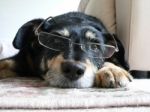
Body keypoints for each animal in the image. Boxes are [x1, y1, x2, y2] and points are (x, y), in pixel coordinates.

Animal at [0, 11, 132, 88]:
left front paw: (112, 70)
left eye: (94, 47)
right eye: (56, 41)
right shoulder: (22, 60)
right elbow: (4, 62)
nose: (73, 69)